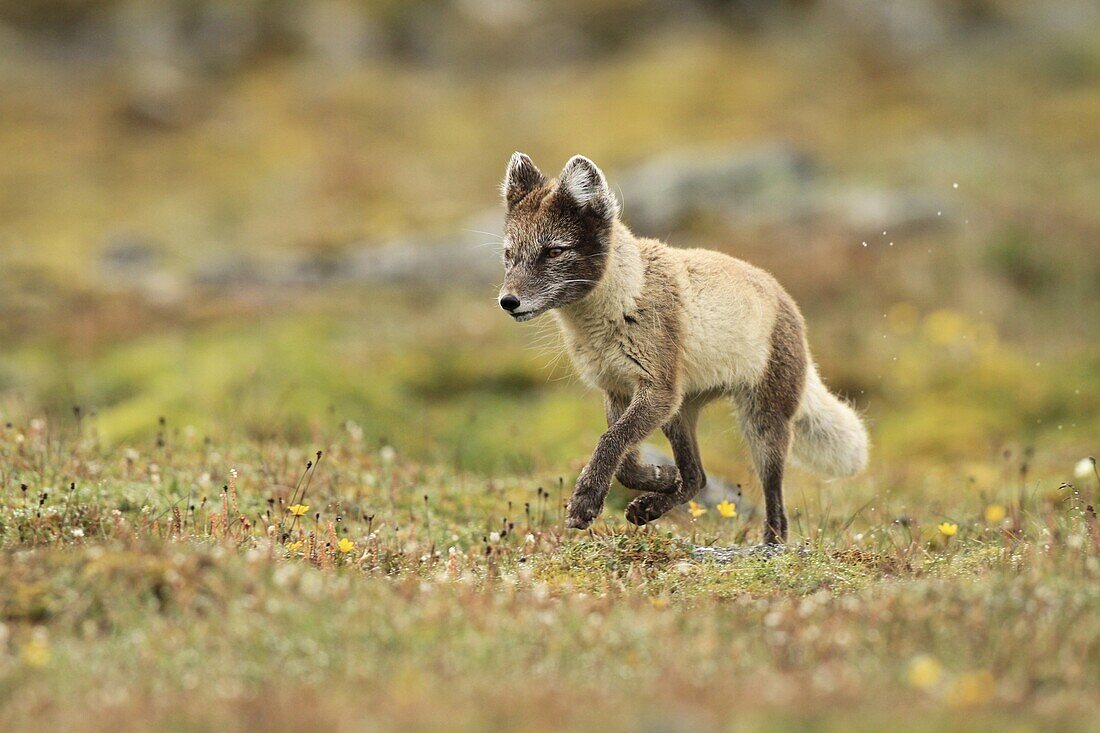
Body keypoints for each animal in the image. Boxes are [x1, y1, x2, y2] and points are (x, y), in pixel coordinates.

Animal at [499, 152, 866, 541]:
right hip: (681, 413)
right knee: (697, 477)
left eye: (554, 251)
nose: (508, 302)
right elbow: (624, 460)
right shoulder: (619, 390)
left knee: (775, 506)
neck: (619, 304)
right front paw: (659, 477)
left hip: (760, 425)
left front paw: (585, 501)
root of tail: (785, 298)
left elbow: (610, 441)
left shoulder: (657, 390)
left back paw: (771, 544)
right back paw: (652, 505)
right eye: (509, 255)